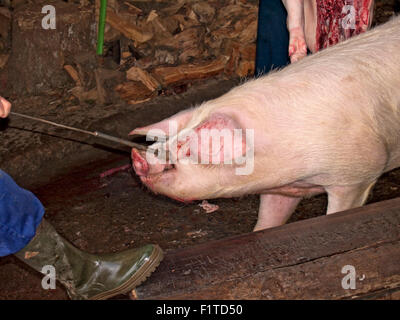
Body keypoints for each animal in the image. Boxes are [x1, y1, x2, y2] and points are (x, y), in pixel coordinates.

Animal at [131, 16, 400, 231]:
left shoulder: (358, 175)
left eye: (187, 148)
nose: (139, 156)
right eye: (173, 136)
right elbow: (268, 221)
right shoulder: (281, 189)